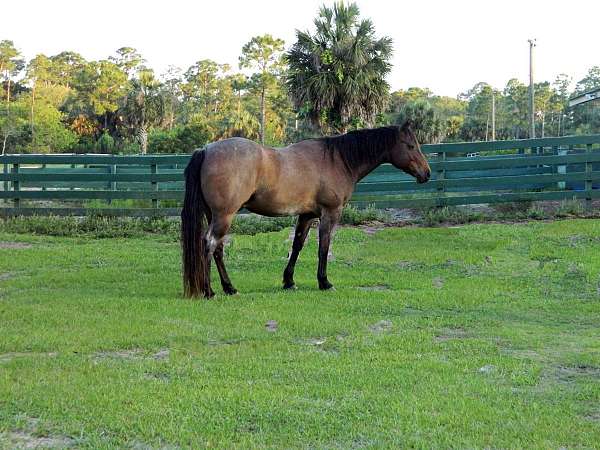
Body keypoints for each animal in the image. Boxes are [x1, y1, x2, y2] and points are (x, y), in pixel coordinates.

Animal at [180, 118, 428, 298]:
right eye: (410, 146)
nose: (426, 173)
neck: (337, 160)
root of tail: (206, 150)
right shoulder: (330, 213)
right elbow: (324, 247)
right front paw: (324, 282)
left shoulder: (307, 215)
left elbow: (297, 245)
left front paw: (289, 281)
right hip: (224, 215)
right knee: (209, 244)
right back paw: (209, 291)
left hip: (216, 215)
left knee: (218, 249)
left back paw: (229, 288)